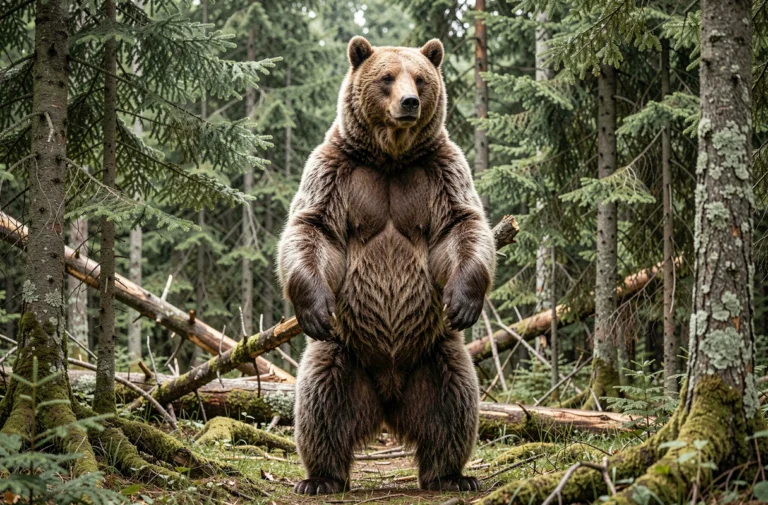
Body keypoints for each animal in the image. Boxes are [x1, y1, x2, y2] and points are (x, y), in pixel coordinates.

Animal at [277, 36, 497, 495]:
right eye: (387, 77)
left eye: (420, 78)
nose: (409, 103)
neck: (390, 156)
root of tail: (388, 398)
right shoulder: (335, 170)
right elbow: (312, 228)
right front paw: (314, 305)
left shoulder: (440, 170)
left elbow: (462, 224)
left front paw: (464, 300)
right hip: (343, 352)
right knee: (319, 404)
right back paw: (320, 478)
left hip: (436, 352)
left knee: (454, 404)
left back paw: (451, 474)